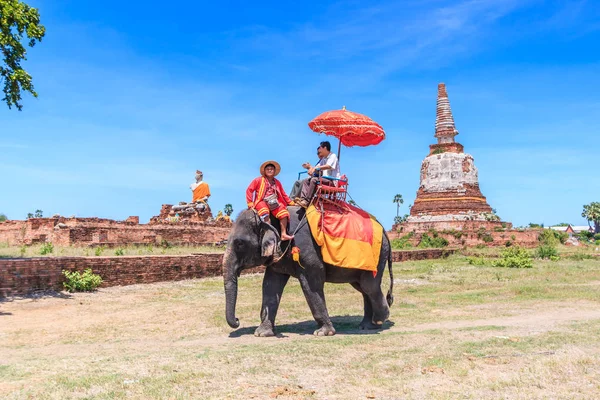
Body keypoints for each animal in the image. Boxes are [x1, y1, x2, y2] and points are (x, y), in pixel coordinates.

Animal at [221, 206, 394, 338]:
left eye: (239, 243)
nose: (237, 320)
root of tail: (384, 230)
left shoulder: (306, 249)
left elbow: (311, 285)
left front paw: (323, 333)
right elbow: (270, 286)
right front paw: (262, 333)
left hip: (377, 256)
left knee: (369, 286)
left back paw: (380, 319)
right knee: (363, 288)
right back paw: (367, 326)